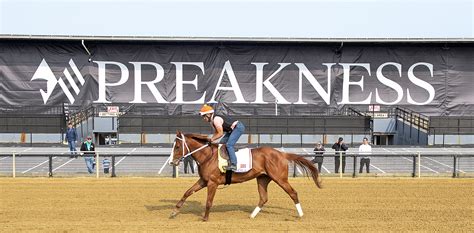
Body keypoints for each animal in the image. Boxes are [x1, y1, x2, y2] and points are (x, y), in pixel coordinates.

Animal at [168, 132, 320, 221]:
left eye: (177, 146)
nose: (171, 162)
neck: (207, 156)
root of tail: (282, 154)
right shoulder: (203, 181)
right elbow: (187, 192)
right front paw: (174, 212)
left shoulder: (212, 182)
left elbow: (209, 201)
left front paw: (205, 218)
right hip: (262, 179)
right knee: (263, 198)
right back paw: (251, 215)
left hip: (280, 178)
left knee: (293, 193)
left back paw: (300, 215)